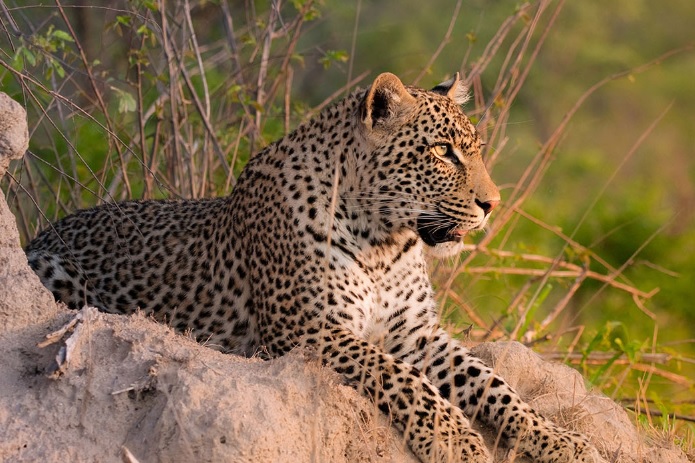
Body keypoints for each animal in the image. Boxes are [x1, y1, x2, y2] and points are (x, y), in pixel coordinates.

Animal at [26, 72, 606, 463]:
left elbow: (494, 383)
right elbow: (402, 378)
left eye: (476, 151)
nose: (493, 204)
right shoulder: (307, 327)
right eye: (443, 152)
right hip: (54, 272)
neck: (385, 243)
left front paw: (561, 440)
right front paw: (456, 439)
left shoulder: (417, 333)